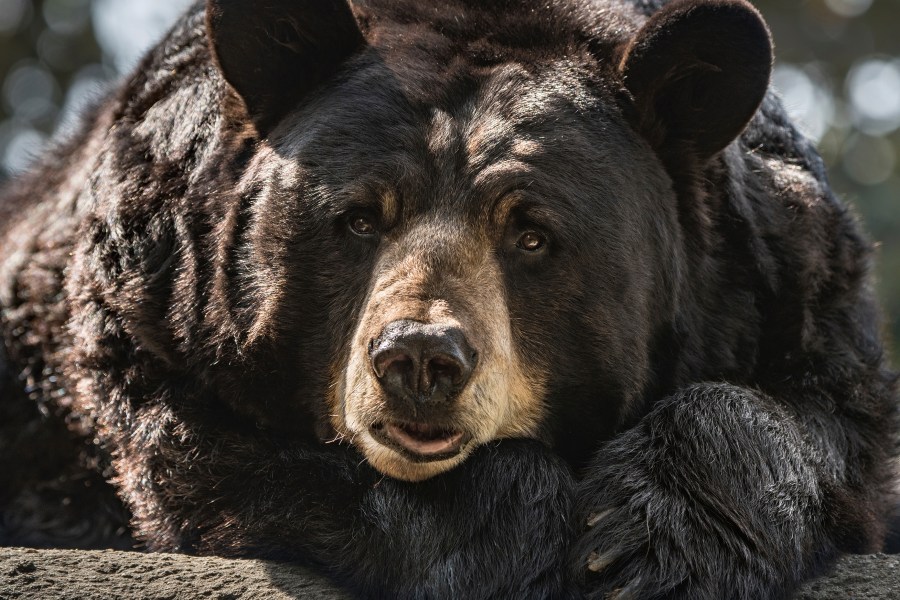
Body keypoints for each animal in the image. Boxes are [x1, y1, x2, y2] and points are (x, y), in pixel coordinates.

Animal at [1, 0, 900, 596]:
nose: (420, 359)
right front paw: (514, 530)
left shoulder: (784, 279)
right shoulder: (157, 299)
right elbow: (217, 456)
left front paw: (648, 545)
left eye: (532, 234)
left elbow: (824, 419)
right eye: (359, 217)